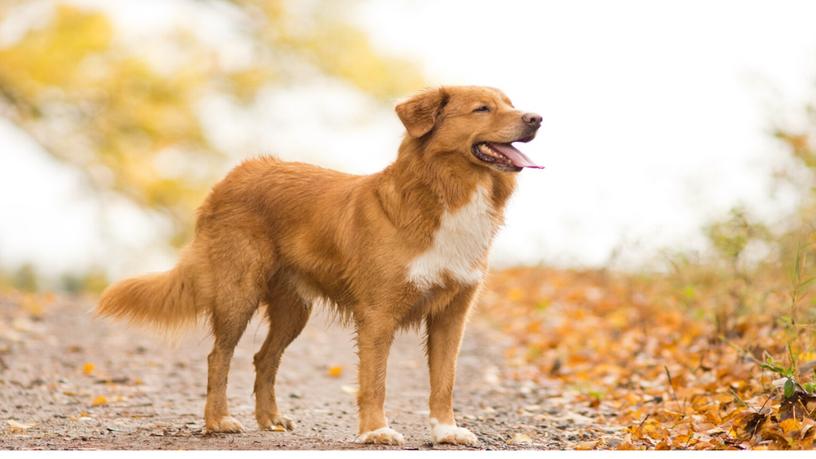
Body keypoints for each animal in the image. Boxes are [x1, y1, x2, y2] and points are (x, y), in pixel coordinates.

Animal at [97, 85, 540, 446]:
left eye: (511, 104)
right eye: (482, 109)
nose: (536, 118)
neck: (445, 195)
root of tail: (235, 174)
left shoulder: (452, 314)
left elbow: (445, 381)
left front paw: (446, 431)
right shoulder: (378, 314)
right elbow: (375, 381)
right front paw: (375, 431)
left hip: (294, 310)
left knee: (264, 359)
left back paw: (270, 420)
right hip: (238, 292)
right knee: (218, 357)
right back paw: (218, 421)